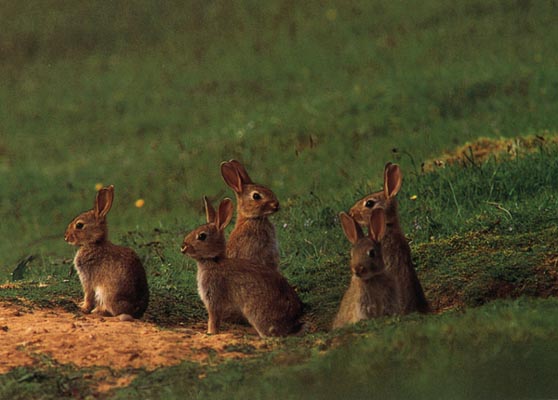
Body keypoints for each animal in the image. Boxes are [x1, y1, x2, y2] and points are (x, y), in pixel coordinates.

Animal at [64, 186, 149, 320]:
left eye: (79, 225)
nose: (66, 237)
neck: (94, 243)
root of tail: (136, 311)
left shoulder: (88, 280)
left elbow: (88, 296)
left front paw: (83, 308)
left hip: (107, 293)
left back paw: (97, 311)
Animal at [180, 197, 302, 338]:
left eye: (202, 236)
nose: (183, 247)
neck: (214, 261)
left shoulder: (214, 297)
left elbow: (213, 319)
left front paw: (210, 333)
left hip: (256, 313)